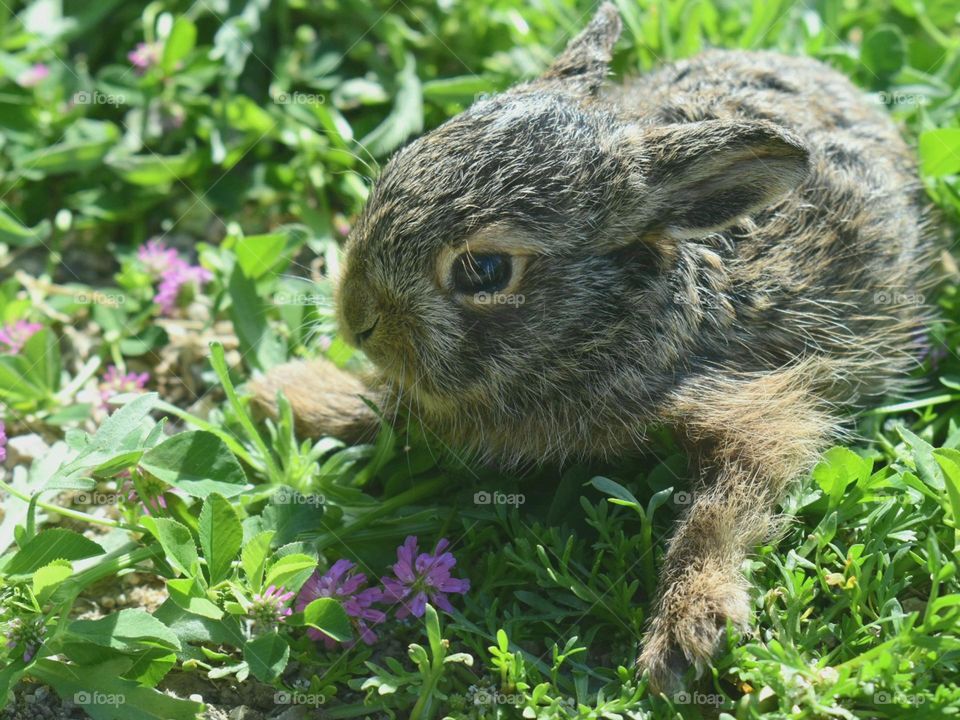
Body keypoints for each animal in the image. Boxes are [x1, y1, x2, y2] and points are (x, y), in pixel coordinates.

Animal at [252, 3, 934, 693]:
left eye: (483, 271)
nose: (356, 319)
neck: (606, 316)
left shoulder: (749, 398)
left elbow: (722, 509)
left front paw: (688, 629)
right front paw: (287, 393)